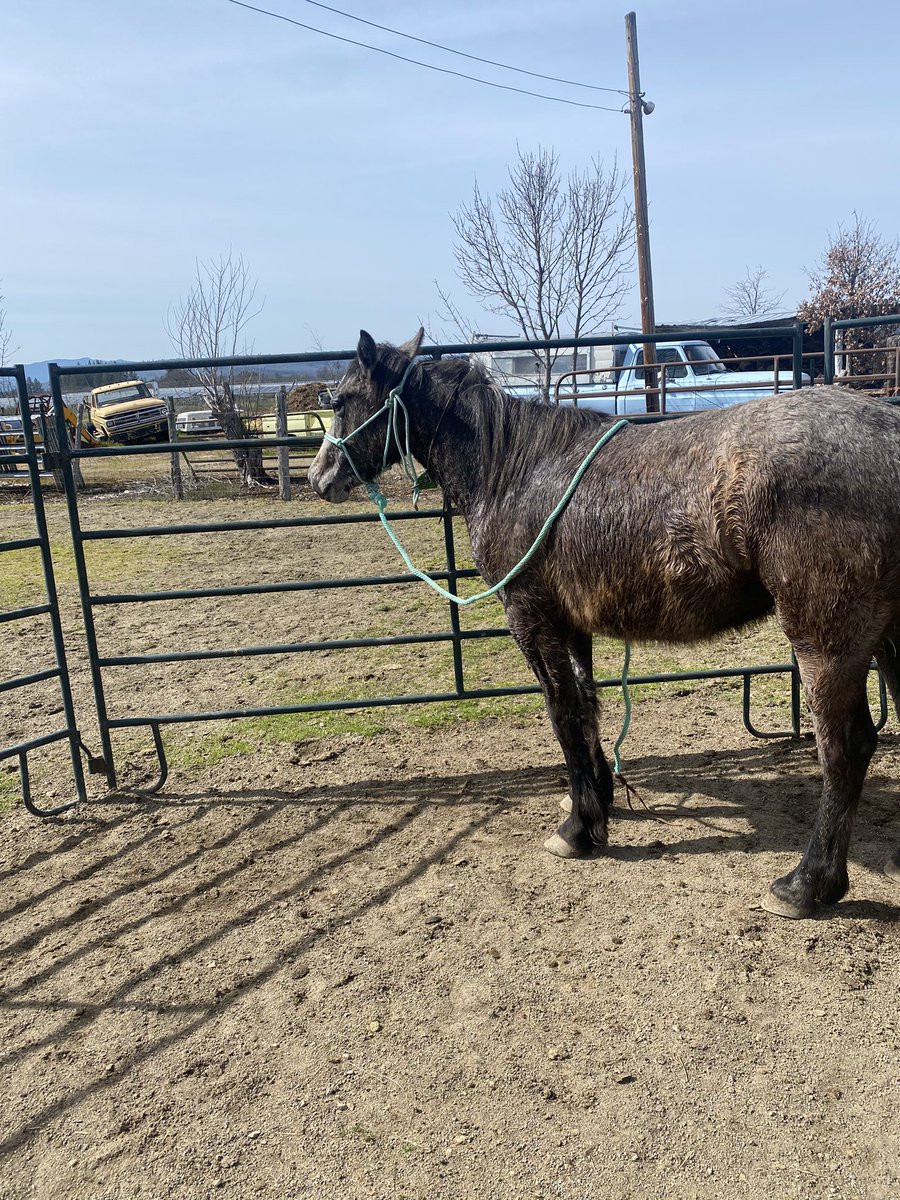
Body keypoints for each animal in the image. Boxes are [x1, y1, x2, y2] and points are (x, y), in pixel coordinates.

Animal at [308, 329, 900, 920]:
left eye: (340, 400)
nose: (319, 479)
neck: (515, 471)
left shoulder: (532, 620)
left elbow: (563, 715)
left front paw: (577, 830)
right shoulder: (572, 624)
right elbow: (587, 708)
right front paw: (598, 805)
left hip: (825, 641)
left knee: (846, 748)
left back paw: (805, 884)